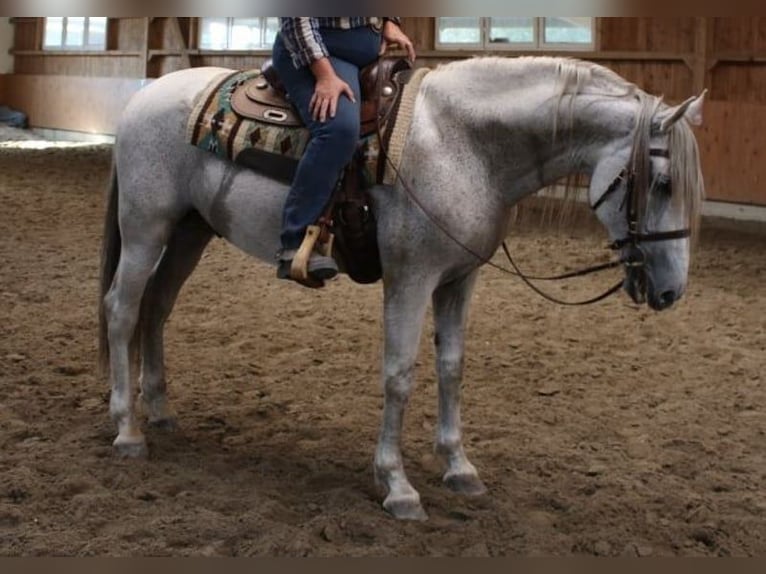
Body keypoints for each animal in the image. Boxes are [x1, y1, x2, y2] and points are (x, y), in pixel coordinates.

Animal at [99, 57, 704, 520]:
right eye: (663, 183)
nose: (671, 291)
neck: (465, 146)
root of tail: (146, 97)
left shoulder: (460, 280)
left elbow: (452, 368)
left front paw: (459, 467)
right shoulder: (410, 280)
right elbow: (399, 375)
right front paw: (398, 485)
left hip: (189, 232)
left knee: (156, 308)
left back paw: (160, 412)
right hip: (146, 228)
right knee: (122, 310)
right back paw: (128, 429)